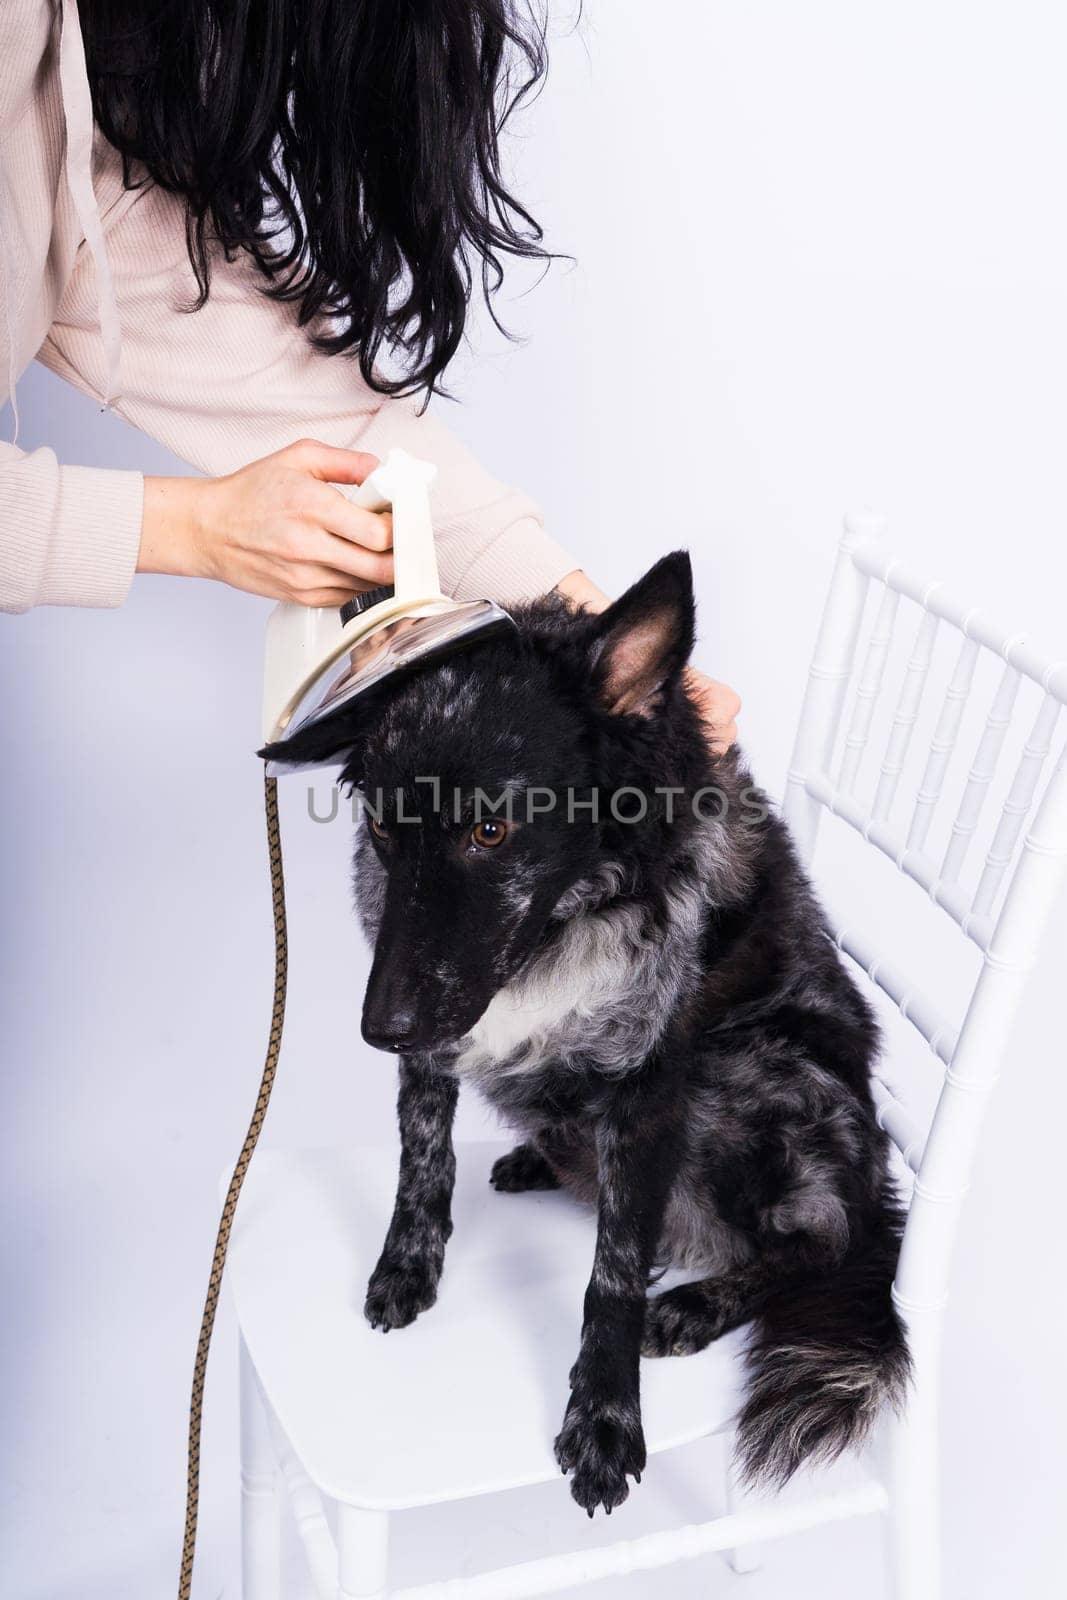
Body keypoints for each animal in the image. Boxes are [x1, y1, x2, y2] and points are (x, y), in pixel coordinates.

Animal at [267, 556, 908, 1516]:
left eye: (490, 829)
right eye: (382, 824)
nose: (382, 1031)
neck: (562, 923)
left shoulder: (650, 1089)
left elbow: (611, 1271)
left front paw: (604, 1419)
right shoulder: (436, 1035)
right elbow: (423, 1159)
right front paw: (409, 1266)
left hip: (759, 1068)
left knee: (823, 1244)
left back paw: (695, 1302)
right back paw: (542, 1161)